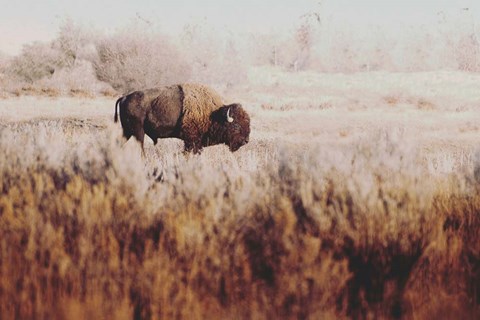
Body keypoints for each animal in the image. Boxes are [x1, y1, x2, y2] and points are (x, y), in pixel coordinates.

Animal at [115, 84, 251, 154]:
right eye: (236, 125)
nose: (246, 141)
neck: (214, 114)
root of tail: (124, 97)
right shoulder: (191, 140)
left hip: (127, 131)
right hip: (138, 131)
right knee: (139, 146)